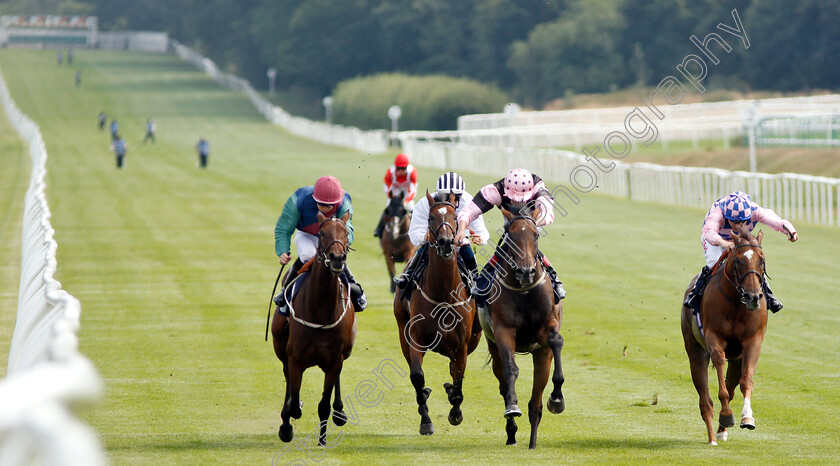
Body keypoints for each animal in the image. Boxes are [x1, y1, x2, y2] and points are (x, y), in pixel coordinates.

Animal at [270, 211, 356, 444]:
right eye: (321, 233)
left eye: (346, 233)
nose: (337, 258)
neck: (320, 310)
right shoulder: (295, 358)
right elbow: (294, 397)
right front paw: (287, 424)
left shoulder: (335, 359)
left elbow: (324, 404)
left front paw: (323, 439)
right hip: (280, 347)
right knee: (287, 380)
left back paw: (339, 412)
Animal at [392, 191, 480, 436]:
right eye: (431, 217)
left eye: (454, 217)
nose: (445, 242)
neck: (443, 295)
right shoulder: (415, 339)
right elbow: (417, 376)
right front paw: (426, 420)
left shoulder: (462, 344)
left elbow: (458, 378)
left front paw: (455, 412)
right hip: (402, 329)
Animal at [480, 207, 564, 448]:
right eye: (511, 236)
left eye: (535, 235)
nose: (526, 272)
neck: (524, 292)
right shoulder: (503, 330)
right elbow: (511, 369)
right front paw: (512, 407)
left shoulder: (547, 328)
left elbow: (556, 340)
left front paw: (557, 398)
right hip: (493, 348)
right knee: (502, 382)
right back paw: (511, 431)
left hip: (541, 355)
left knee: (536, 404)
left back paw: (533, 442)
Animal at [684, 224, 768, 446]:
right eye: (738, 260)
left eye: (762, 260)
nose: (753, 297)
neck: (736, 302)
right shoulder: (714, 338)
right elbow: (719, 369)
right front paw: (727, 415)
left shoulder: (752, 342)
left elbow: (746, 382)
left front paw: (747, 418)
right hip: (695, 352)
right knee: (705, 400)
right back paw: (713, 437)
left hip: (736, 360)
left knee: (731, 388)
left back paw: (721, 431)